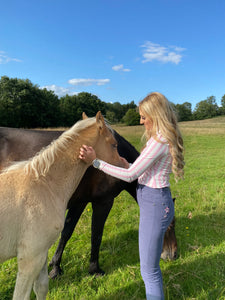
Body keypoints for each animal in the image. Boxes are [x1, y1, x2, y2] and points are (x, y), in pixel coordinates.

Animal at [0, 112, 122, 300]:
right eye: (114, 144)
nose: (126, 165)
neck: (43, 185)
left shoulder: (42, 252)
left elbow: (42, 287)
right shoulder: (30, 257)